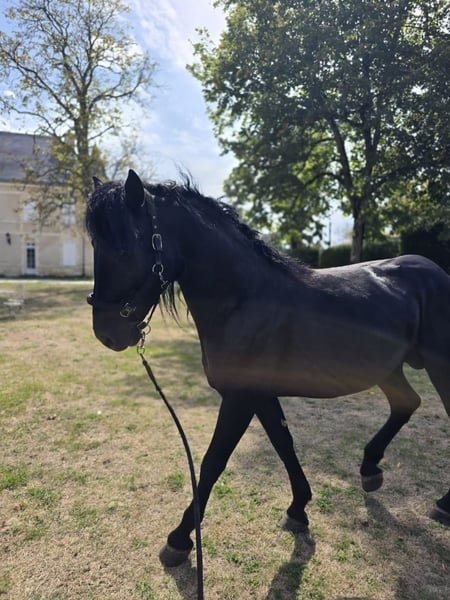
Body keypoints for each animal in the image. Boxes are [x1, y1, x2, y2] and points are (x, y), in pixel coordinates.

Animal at [86, 169, 450, 567]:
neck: (244, 301)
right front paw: (298, 510)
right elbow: (283, 443)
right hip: (389, 368)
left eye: (125, 247)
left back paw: (443, 504)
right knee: (406, 404)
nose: (106, 334)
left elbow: (213, 462)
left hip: (438, 365)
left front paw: (179, 540)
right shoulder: (260, 395)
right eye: (94, 244)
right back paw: (370, 470)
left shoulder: (240, 398)